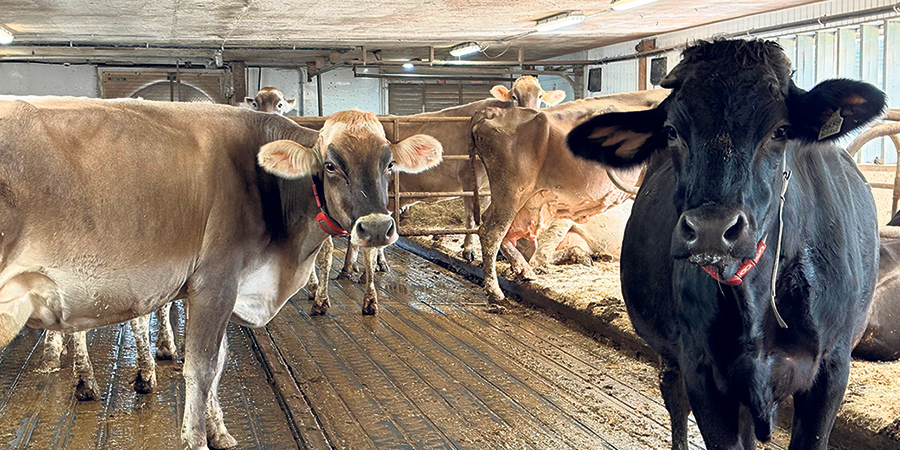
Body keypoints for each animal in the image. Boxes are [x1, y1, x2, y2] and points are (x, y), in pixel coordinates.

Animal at [0, 99, 440, 450]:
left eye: (389, 163)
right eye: (331, 165)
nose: (377, 228)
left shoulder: (228, 289)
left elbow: (220, 363)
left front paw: (220, 432)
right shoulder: (215, 283)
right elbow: (202, 368)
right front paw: (197, 439)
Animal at [568, 39, 884, 450]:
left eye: (781, 130)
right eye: (671, 131)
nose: (710, 229)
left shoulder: (832, 369)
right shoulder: (701, 369)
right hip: (673, 358)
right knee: (675, 400)